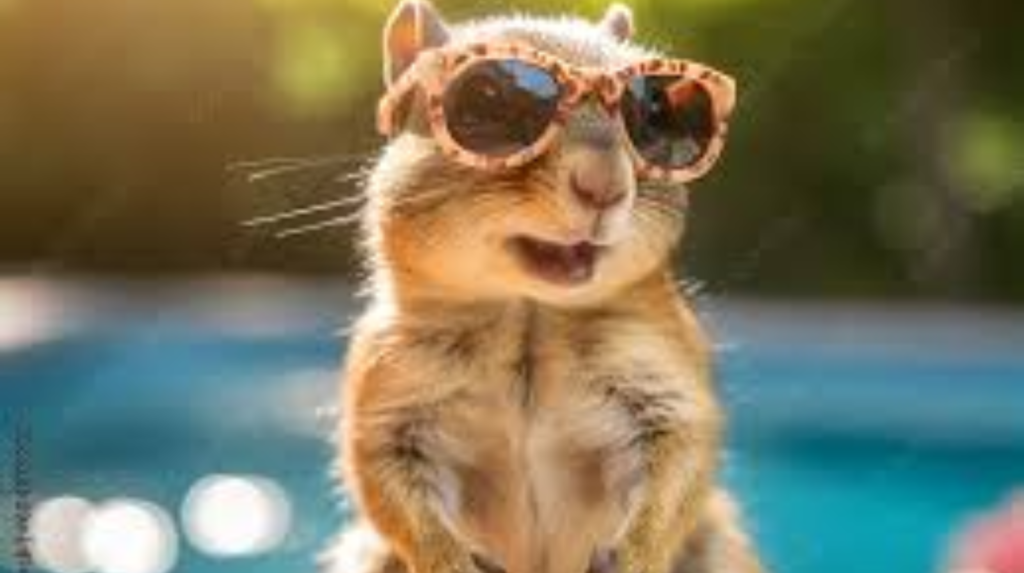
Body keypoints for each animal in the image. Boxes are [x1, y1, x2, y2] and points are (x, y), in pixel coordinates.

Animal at [325, 2, 764, 573]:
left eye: (655, 112)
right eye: (487, 100)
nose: (604, 185)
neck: (530, 312)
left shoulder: (664, 383)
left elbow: (679, 465)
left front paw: (631, 555)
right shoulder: (389, 402)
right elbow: (393, 496)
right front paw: (452, 560)